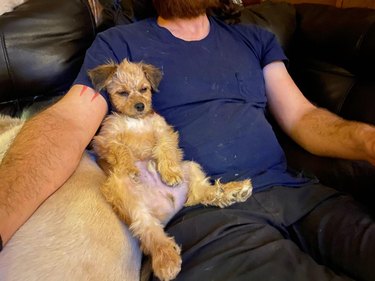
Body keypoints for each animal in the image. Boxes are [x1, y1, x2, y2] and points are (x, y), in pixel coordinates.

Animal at [88, 59, 253, 280]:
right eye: (122, 93)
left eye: (144, 89)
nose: (140, 106)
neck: (136, 121)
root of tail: (170, 211)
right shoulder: (104, 141)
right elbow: (121, 148)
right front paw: (130, 166)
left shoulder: (163, 130)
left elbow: (164, 148)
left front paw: (170, 173)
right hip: (125, 195)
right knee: (150, 230)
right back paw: (166, 259)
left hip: (190, 167)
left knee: (202, 192)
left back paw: (233, 191)